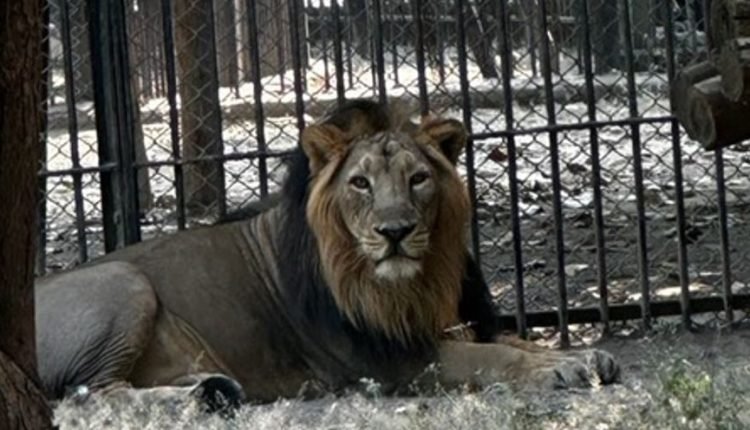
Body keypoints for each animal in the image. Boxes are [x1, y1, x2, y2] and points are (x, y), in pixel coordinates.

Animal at [35, 99, 619, 412]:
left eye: (418, 179)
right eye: (360, 183)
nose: (395, 231)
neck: (416, 283)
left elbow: (510, 340)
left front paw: (583, 357)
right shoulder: (386, 360)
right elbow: (491, 356)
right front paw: (558, 369)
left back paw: (212, 388)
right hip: (122, 278)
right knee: (90, 394)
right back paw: (197, 400)